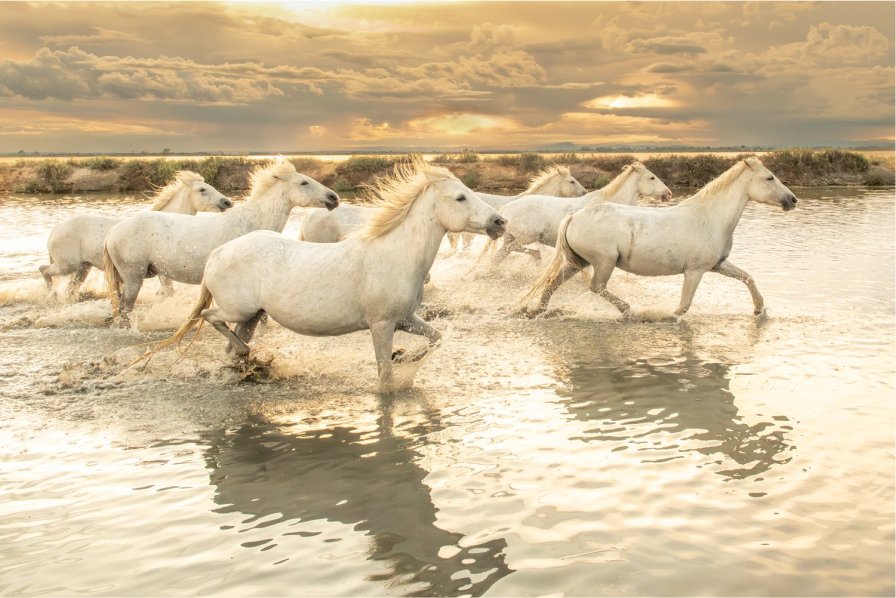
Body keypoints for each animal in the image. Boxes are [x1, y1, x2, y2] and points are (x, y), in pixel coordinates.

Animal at [39, 171, 232, 300]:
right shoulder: (162, 272)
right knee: (44, 270)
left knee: (70, 288)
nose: (227, 202)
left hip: (82, 267)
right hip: (67, 265)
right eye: (202, 190)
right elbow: (168, 292)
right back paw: (51, 295)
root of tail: (54, 231)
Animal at [103, 159, 339, 327]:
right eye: (304, 182)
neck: (251, 224)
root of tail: (113, 231)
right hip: (134, 276)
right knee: (125, 308)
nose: (334, 198)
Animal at [148, 156, 507, 392]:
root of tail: (218, 253)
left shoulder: (406, 319)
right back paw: (248, 357)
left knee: (229, 343)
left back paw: (247, 364)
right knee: (209, 316)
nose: (500, 222)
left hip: (251, 316)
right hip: (238, 309)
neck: (397, 255)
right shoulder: (381, 325)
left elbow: (436, 339)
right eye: (460, 197)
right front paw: (397, 364)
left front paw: (405, 356)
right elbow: (385, 378)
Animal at [523, 157, 797, 318]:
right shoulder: (695, 271)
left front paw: (759, 310)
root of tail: (574, 217)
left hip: (579, 262)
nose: (793, 200)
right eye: (769, 177)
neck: (711, 217)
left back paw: (538, 310)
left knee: (554, 283)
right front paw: (667, 318)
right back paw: (628, 311)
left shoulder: (718, 265)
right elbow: (683, 307)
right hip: (604, 262)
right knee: (596, 287)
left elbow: (747, 278)